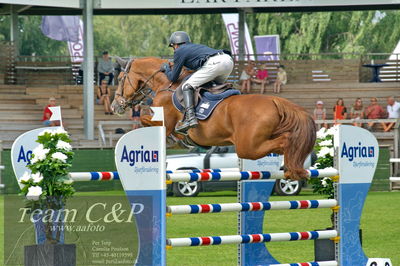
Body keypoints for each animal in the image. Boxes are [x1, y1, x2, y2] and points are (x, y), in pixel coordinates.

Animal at [111, 57, 316, 180]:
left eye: (120, 78)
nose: (114, 106)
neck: (166, 84)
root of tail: (275, 101)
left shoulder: (164, 122)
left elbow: (146, 122)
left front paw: (173, 139)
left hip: (248, 147)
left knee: (286, 140)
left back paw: (292, 168)